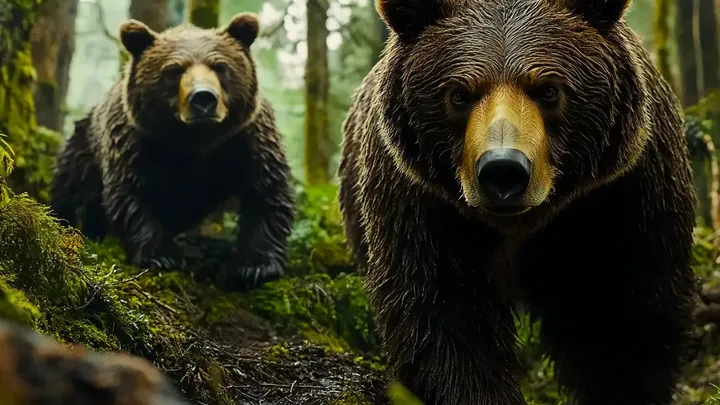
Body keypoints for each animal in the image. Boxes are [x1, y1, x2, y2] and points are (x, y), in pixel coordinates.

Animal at [49, 13, 295, 290]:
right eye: (174, 70)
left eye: (220, 66)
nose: (203, 98)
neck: (194, 141)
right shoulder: (137, 143)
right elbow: (131, 194)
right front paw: (162, 255)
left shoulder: (245, 140)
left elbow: (267, 191)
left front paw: (254, 267)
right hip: (83, 151)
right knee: (71, 192)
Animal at [338, 0, 698, 404]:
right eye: (459, 94)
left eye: (548, 90)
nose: (503, 170)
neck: (521, 223)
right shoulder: (420, 201)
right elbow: (443, 313)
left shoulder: (621, 191)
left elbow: (625, 313)